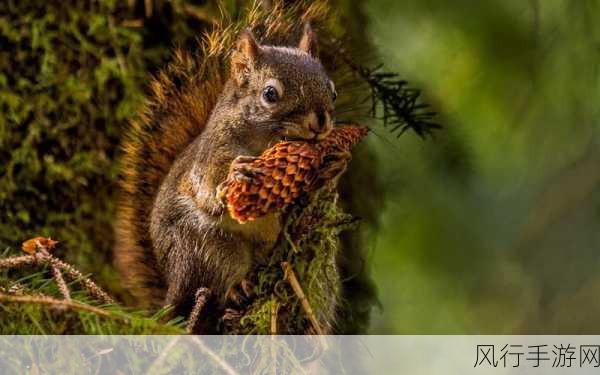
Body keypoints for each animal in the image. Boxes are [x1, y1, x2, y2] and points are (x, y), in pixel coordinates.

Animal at [113, 14, 346, 332]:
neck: (265, 143)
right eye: (270, 94)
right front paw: (235, 176)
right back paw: (236, 289)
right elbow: (208, 185)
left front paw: (336, 164)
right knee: (217, 284)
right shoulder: (210, 155)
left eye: (332, 91)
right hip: (205, 247)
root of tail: (171, 289)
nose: (320, 122)